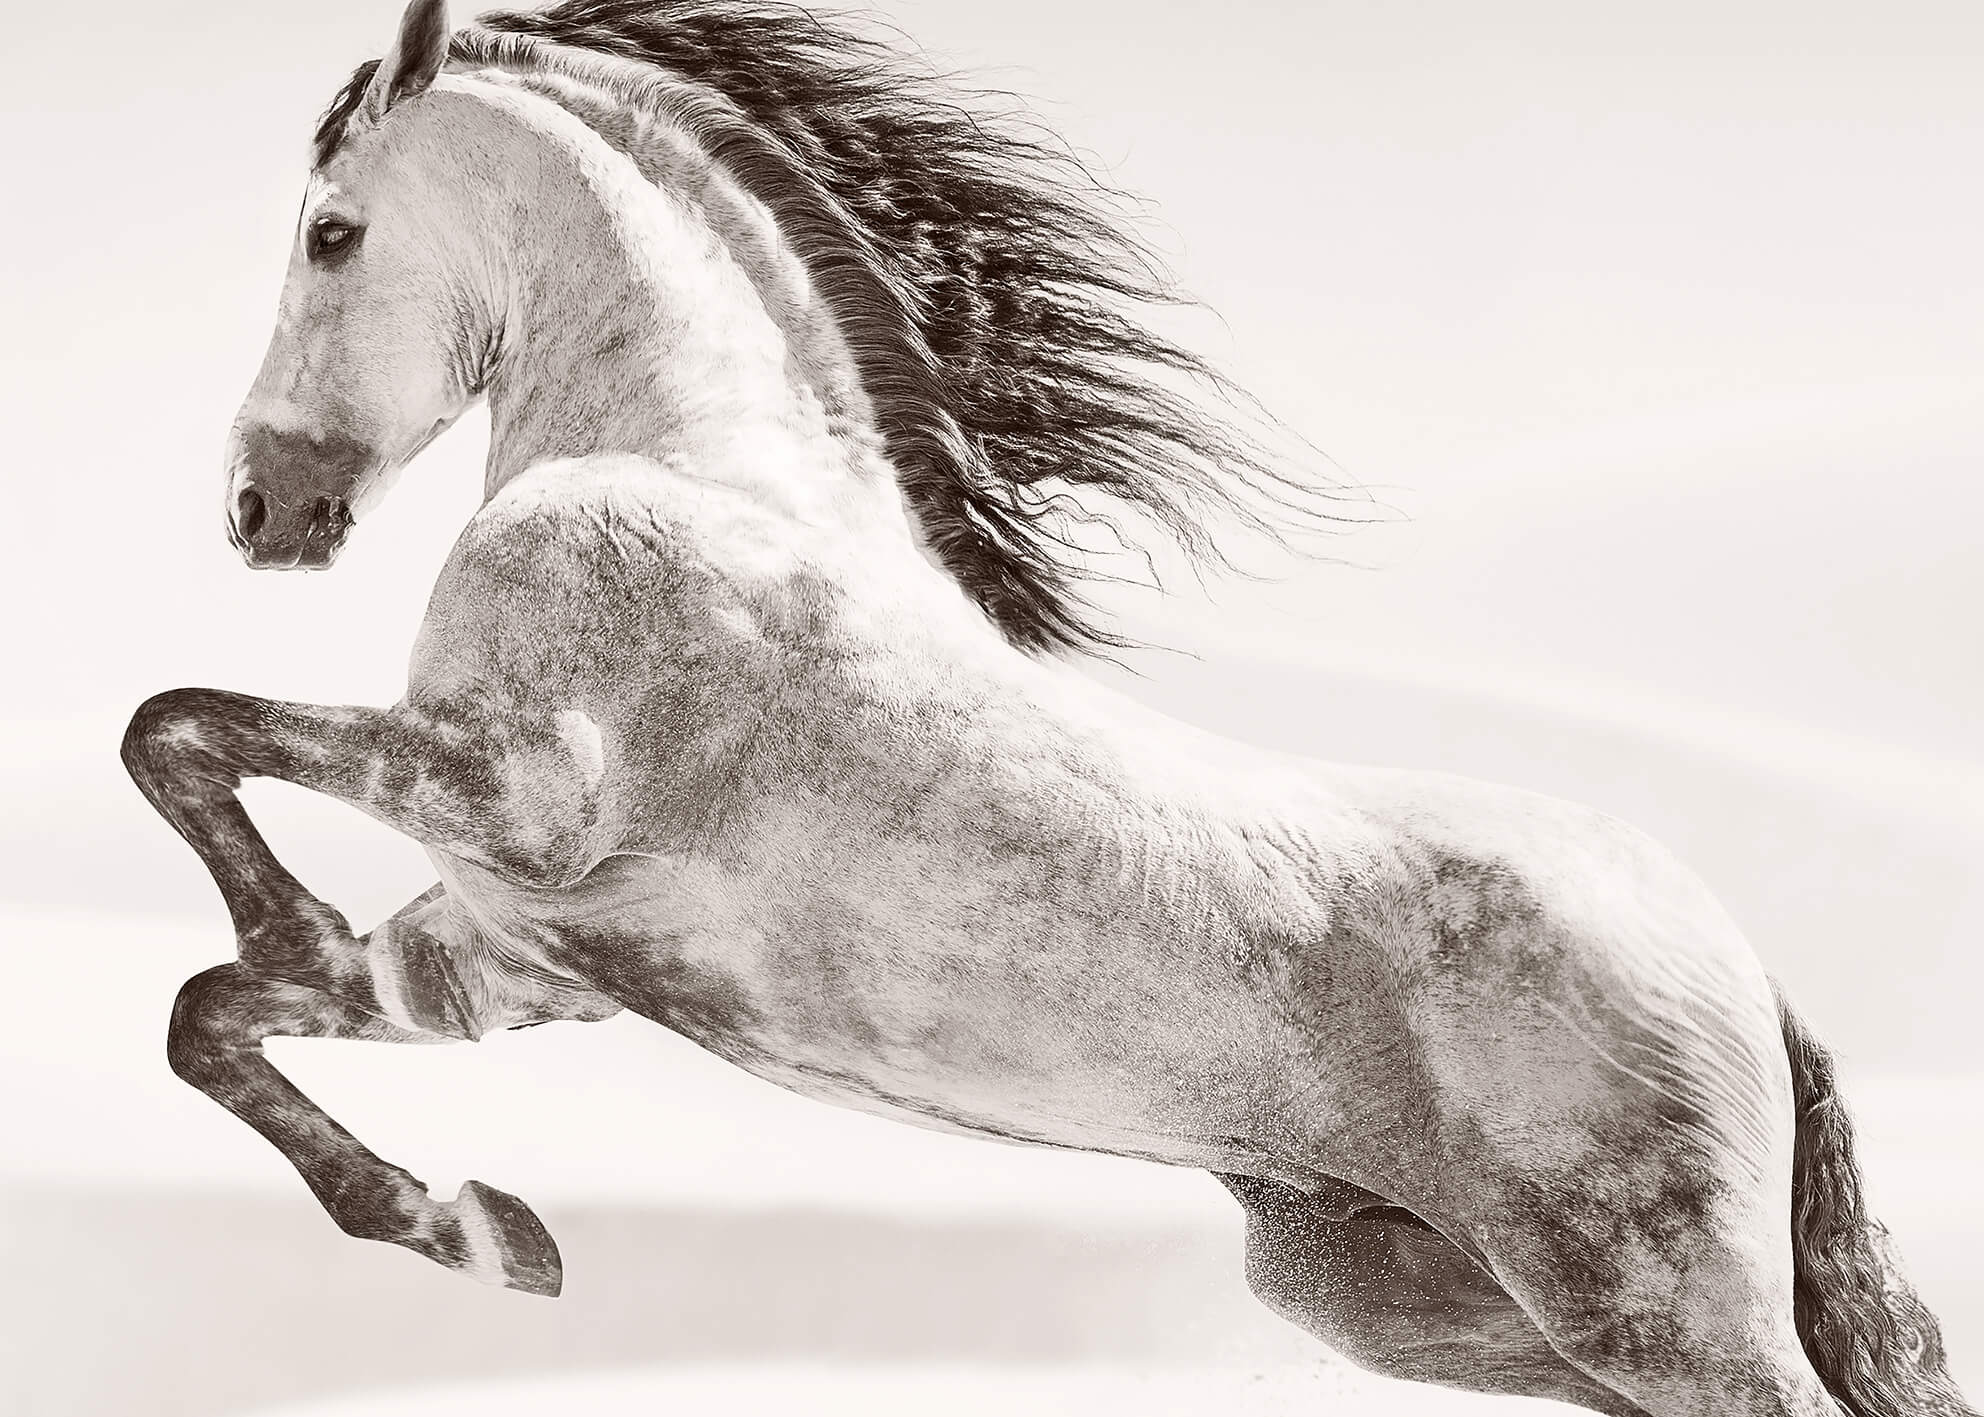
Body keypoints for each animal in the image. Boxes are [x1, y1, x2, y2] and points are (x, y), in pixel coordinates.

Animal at [121, 2, 1973, 1414]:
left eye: (331, 230)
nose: (261, 511)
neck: (694, 469)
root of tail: (1739, 961)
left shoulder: (512, 793)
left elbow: (175, 725)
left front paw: (301, 938)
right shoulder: (508, 960)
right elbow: (211, 1012)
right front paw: (479, 1225)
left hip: (1643, 1299)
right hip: (1411, 1297)